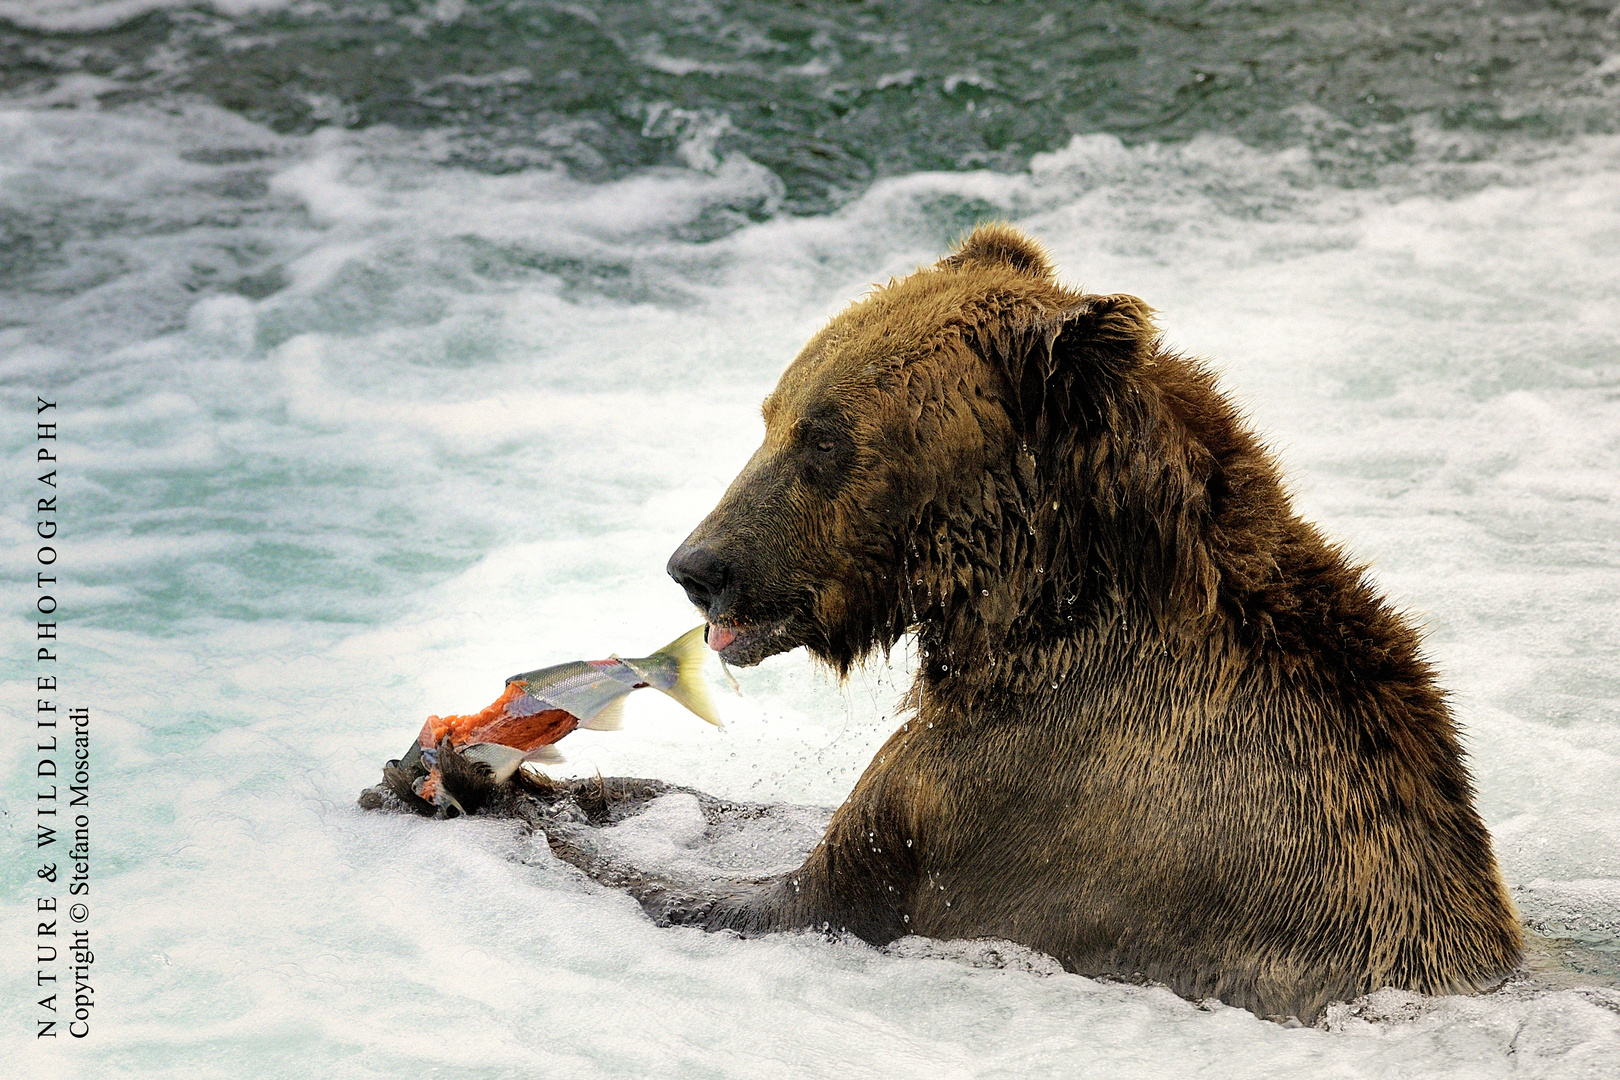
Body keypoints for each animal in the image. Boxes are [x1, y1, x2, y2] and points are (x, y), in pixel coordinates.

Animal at [544, 221, 1516, 1023]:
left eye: (826, 438)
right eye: (773, 413)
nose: (697, 567)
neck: (1025, 614)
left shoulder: (1016, 793)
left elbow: (790, 892)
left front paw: (527, 804)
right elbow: (759, 815)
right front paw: (588, 784)